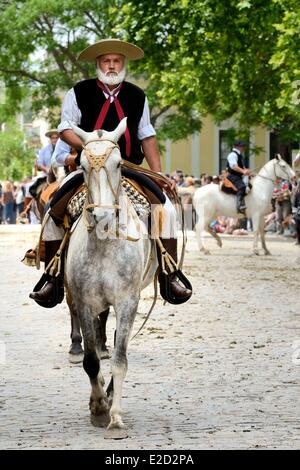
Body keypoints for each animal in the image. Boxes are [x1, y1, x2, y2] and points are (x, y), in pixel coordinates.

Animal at [64, 118, 158, 440]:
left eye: (118, 164)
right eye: (82, 165)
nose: (103, 215)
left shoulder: (128, 301)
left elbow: (120, 360)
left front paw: (115, 418)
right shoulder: (84, 301)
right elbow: (91, 361)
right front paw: (98, 407)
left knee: (117, 342)